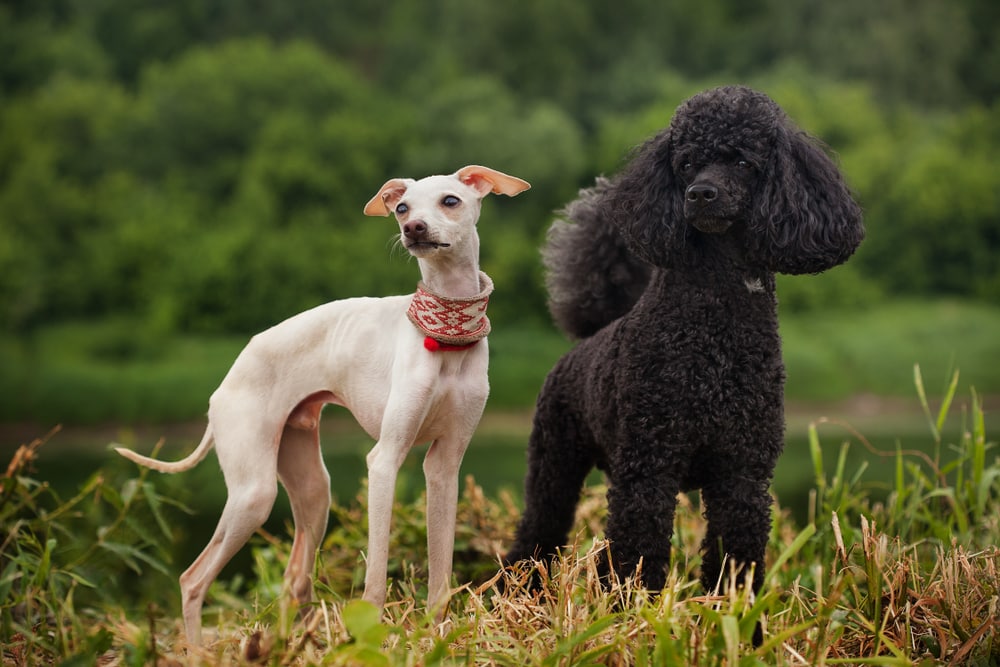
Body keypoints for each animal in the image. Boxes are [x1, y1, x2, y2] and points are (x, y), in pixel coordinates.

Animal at [117, 164, 532, 644]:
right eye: (402, 206)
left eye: (450, 201)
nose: (412, 229)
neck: (447, 339)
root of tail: (225, 382)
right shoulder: (384, 461)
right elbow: (376, 569)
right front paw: (372, 633)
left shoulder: (445, 465)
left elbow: (441, 565)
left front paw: (438, 630)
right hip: (254, 493)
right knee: (192, 579)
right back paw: (200, 651)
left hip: (313, 488)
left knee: (295, 578)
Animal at [504, 86, 864, 608]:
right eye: (687, 163)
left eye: (742, 161)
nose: (699, 194)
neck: (715, 320)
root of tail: (589, 337)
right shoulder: (648, 469)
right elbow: (639, 552)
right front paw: (634, 612)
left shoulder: (741, 472)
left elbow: (736, 552)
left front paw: (733, 613)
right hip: (555, 463)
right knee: (537, 533)